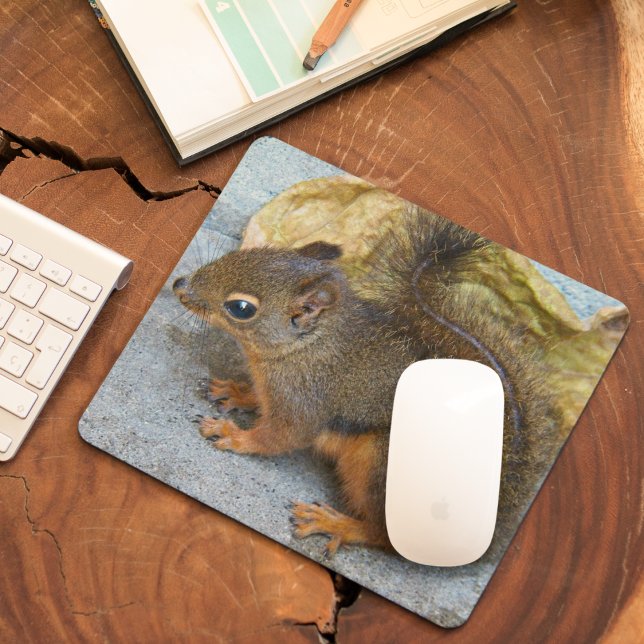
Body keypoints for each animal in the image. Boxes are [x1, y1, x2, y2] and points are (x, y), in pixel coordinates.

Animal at [173, 206, 559, 558]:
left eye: (241, 308)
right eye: (243, 254)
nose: (179, 285)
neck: (307, 347)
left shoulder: (307, 399)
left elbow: (281, 436)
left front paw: (232, 434)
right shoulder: (274, 389)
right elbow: (257, 398)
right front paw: (234, 391)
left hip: (379, 467)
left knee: (383, 535)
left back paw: (335, 523)